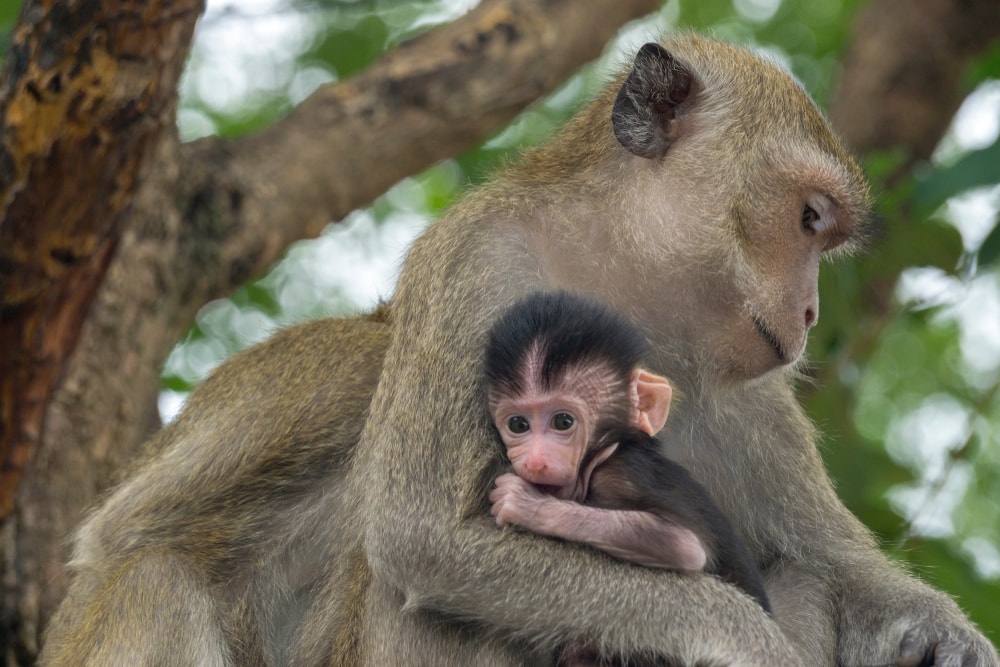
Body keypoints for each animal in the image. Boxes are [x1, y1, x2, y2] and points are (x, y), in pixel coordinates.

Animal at [485, 291, 771, 666]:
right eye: (518, 425)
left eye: (563, 422)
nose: (535, 460)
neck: (603, 453)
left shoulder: (623, 473)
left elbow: (683, 546)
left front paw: (527, 505)